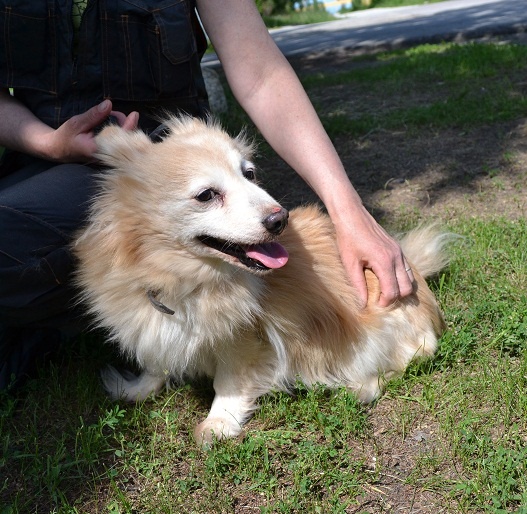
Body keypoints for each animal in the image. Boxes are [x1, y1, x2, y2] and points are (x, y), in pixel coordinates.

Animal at [74, 116, 450, 446]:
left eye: (249, 174)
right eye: (206, 195)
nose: (280, 218)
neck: (183, 279)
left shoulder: (243, 339)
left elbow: (229, 382)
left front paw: (218, 423)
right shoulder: (155, 325)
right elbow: (155, 361)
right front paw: (135, 389)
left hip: (382, 335)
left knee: (400, 363)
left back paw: (355, 386)